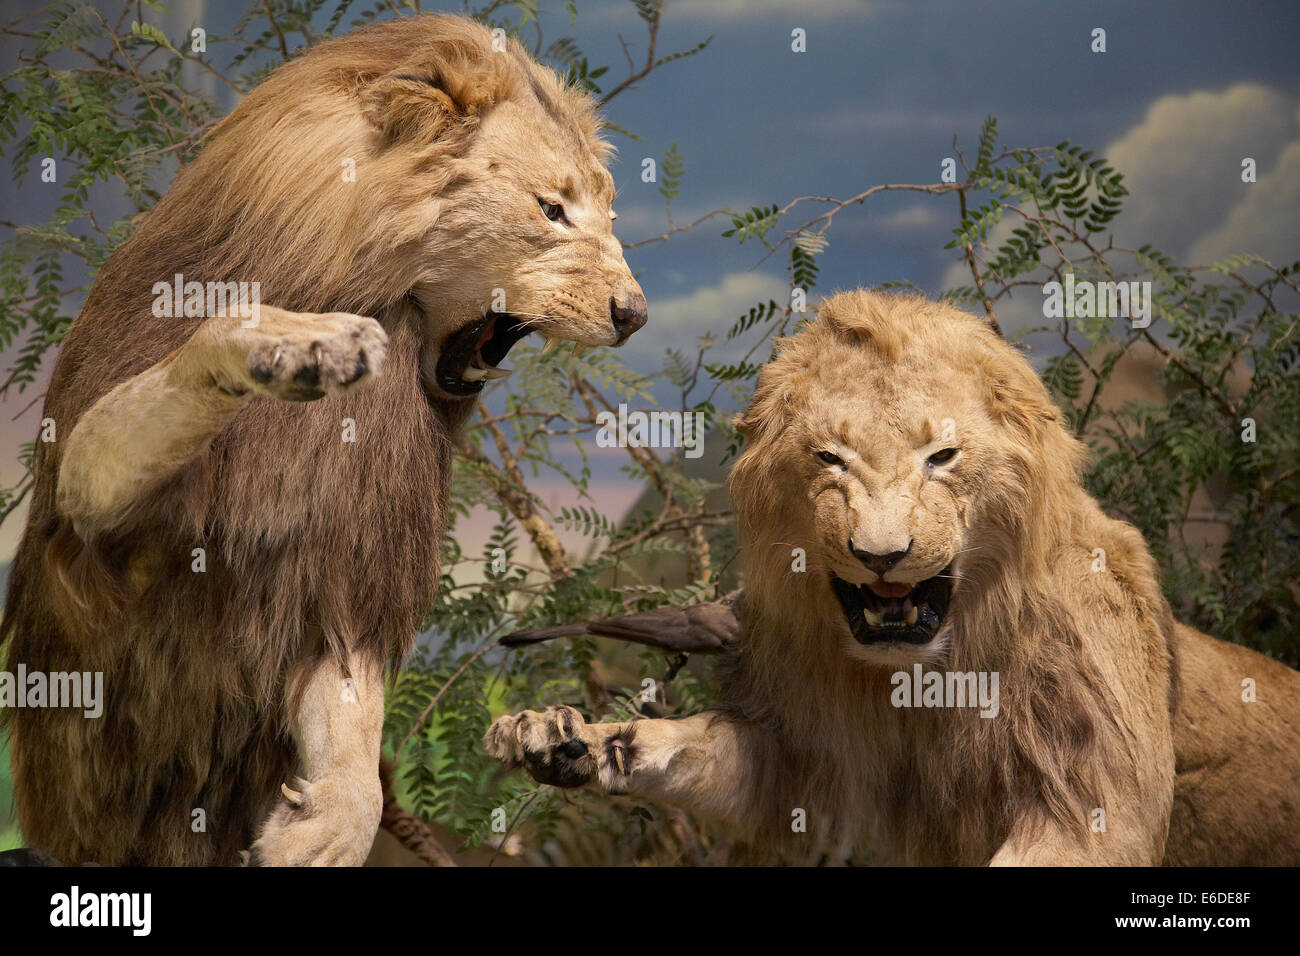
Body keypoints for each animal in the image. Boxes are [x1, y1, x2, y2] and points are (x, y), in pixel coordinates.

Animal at [0, 14, 647, 868]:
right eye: (552, 209)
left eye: (609, 211)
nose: (635, 314)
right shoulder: (88, 498)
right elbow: (187, 366)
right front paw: (284, 342)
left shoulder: (346, 562)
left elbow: (350, 706)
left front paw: (330, 822)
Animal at [488, 291, 1300, 868]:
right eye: (829, 458)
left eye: (942, 456)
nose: (881, 554)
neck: (918, 672)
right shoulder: (801, 750)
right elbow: (699, 750)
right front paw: (572, 739)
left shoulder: (1096, 794)